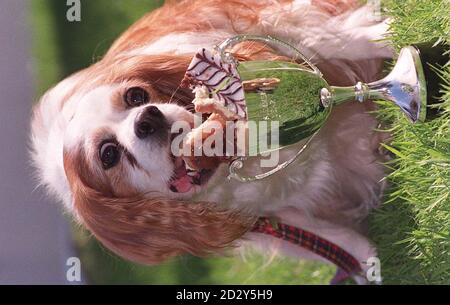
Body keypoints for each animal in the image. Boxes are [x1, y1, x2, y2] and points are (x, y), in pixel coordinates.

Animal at [29, 0, 392, 282]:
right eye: (108, 155)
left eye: (136, 95)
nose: (148, 119)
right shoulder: (265, 218)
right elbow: (333, 241)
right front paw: (370, 264)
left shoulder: (284, 30)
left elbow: (343, 39)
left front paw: (390, 37)